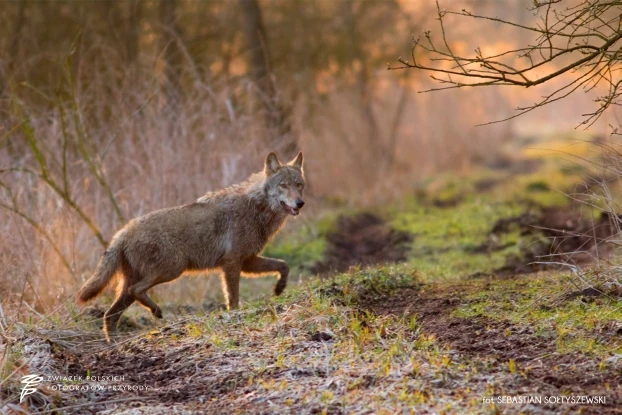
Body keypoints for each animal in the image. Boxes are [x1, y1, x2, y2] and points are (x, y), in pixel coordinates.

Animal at [77, 153, 306, 342]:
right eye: (283, 185)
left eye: (298, 185)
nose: (300, 203)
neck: (256, 207)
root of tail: (122, 233)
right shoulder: (232, 263)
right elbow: (233, 299)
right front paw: (235, 317)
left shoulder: (247, 261)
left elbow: (284, 265)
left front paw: (279, 288)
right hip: (173, 269)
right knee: (136, 291)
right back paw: (156, 312)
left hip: (137, 284)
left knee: (110, 316)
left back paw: (115, 344)